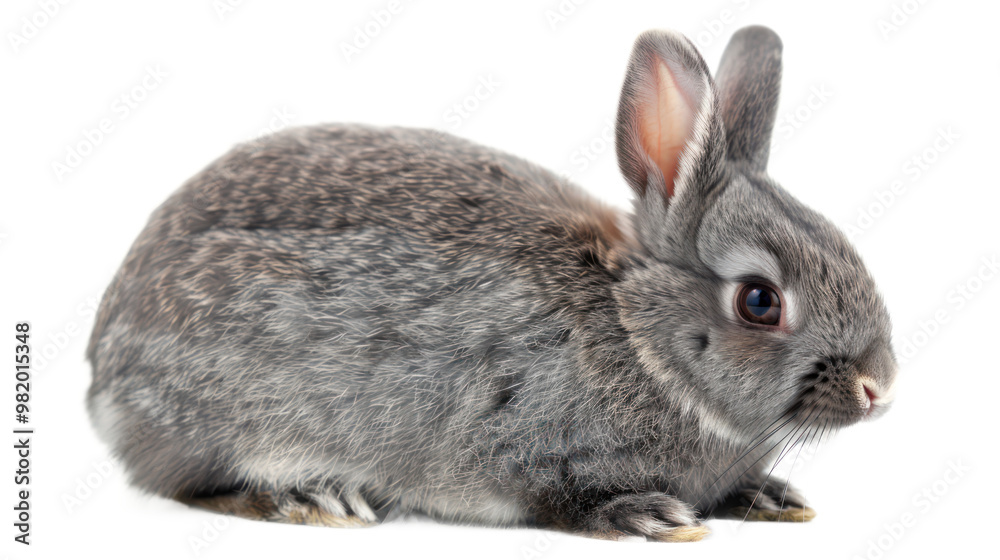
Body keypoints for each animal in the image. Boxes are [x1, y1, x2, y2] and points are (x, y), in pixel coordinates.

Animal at [86, 25, 897, 542]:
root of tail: (102, 376)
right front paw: (649, 517)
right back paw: (311, 495)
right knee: (193, 483)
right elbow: (559, 496)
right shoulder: (524, 445)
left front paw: (774, 497)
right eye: (760, 300)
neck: (639, 337)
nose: (878, 389)